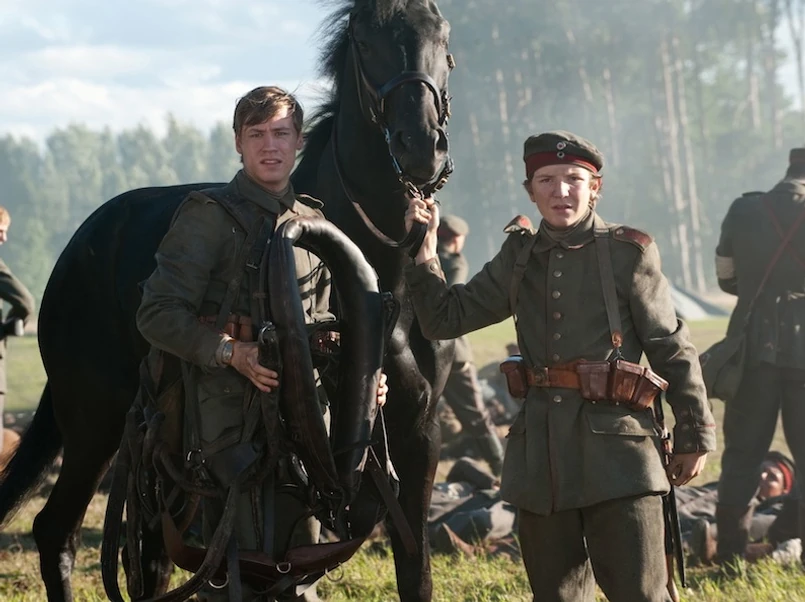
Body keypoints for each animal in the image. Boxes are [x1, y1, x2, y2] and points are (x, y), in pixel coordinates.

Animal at [0, 1, 455, 601]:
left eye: (442, 33)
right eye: (365, 40)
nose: (420, 144)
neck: (389, 279)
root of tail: (79, 247)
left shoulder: (417, 434)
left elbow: (414, 564)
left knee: (153, 555)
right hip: (92, 422)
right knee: (59, 532)